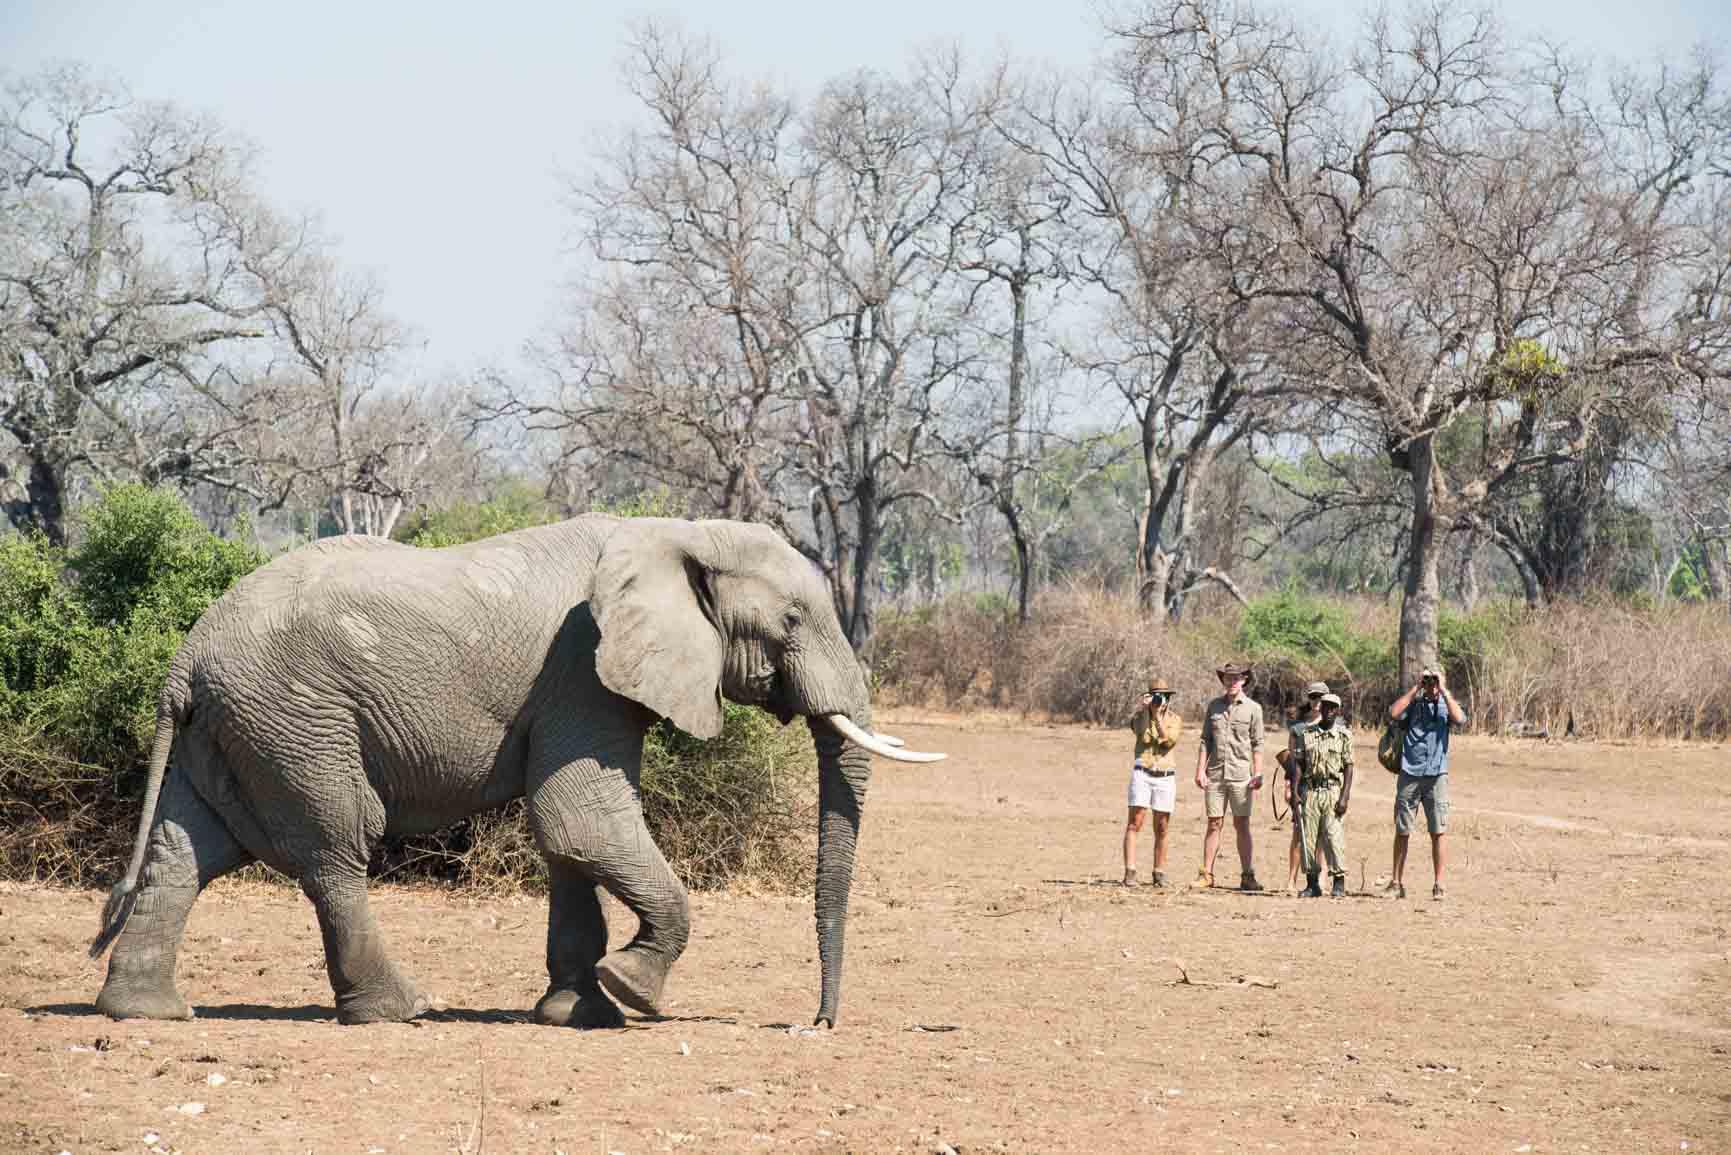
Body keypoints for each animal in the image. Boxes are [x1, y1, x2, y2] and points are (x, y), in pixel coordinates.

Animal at [87, 514, 943, 1029]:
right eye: (791, 621)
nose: (818, 1022)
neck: (674, 531)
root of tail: (185, 659)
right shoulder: (581, 671)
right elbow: (582, 818)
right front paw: (631, 991)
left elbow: (568, 840)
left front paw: (576, 1011)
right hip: (296, 719)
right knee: (335, 848)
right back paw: (400, 1010)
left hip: (235, 728)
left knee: (187, 851)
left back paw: (144, 1012)